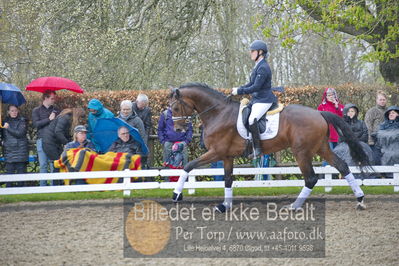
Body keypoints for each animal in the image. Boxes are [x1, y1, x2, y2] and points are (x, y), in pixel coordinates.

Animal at [169, 83, 372, 212]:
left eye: (176, 108)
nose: (177, 129)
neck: (218, 113)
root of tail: (319, 113)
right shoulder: (226, 156)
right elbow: (227, 180)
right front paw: (224, 206)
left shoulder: (216, 152)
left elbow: (188, 166)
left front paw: (176, 195)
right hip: (322, 148)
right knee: (342, 166)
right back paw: (360, 200)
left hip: (301, 152)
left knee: (311, 178)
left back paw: (294, 207)